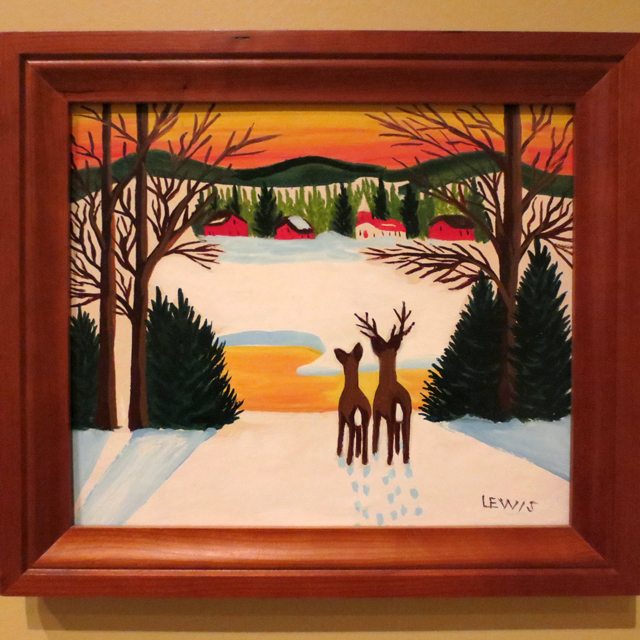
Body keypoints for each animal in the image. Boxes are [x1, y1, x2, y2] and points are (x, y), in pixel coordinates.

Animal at [355, 302, 415, 465]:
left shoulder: (382, 413)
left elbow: (381, 438)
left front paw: (380, 457)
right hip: (404, 414)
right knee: (403, 436)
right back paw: (404, 459)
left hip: (397, 414)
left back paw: (394, 461)